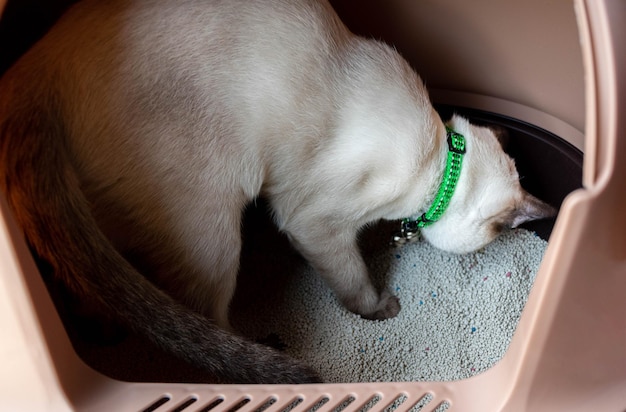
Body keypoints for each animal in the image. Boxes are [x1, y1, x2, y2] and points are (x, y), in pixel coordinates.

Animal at [0, 0, 552, 384]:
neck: (440, 157)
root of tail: (31, 70)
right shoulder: (313, 221)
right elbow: (353, 278)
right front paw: (379, 308)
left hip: (104, 222)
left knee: (94, 283)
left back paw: (105, 331)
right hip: (216, 228)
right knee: (207, 316)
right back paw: (263, 353)